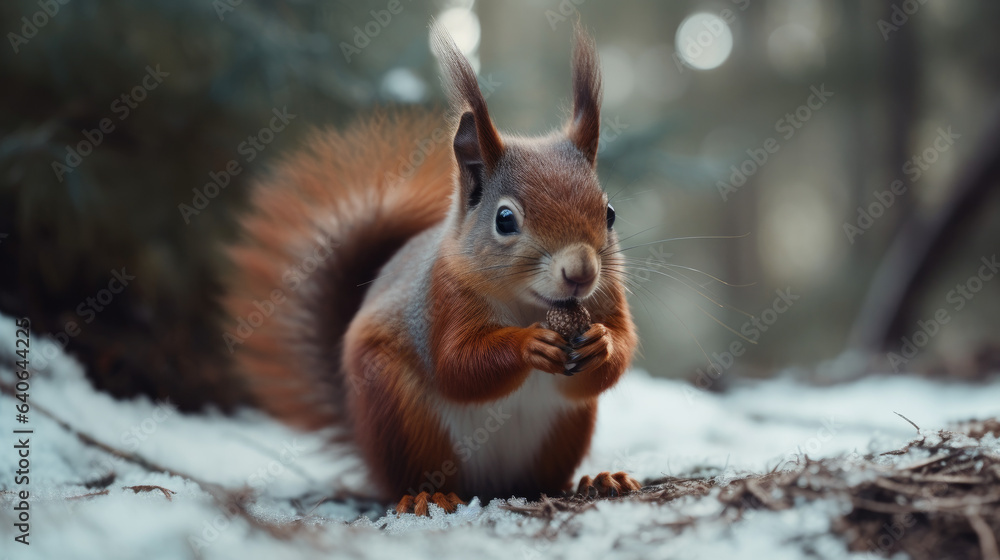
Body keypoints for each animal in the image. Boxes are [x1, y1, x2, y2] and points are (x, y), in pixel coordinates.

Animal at [223, 22, 640, 515]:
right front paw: (528, 345)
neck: (530, 305)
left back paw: (596, 480)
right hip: (399, 412)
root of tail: (494, 487)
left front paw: (602, 343)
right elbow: (456, 365)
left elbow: (616, 355)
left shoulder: (607, 296)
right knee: (411, 477)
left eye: (609, 213)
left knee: (545, 479)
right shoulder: (441, 299)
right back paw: (430, 494)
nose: (581, 274)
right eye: (505, 219)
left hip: (565, 430)